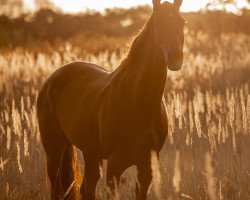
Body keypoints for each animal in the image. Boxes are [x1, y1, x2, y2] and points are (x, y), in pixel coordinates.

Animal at [37, 0, 186, 199]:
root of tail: (52, 79)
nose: (176, 58)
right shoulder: (115, 165)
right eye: (157, 24)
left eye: (182, 22)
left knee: (87, 188)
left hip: (90, 152)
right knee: (58, 188)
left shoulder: (146, 167)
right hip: (54, 149)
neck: (138, 100)